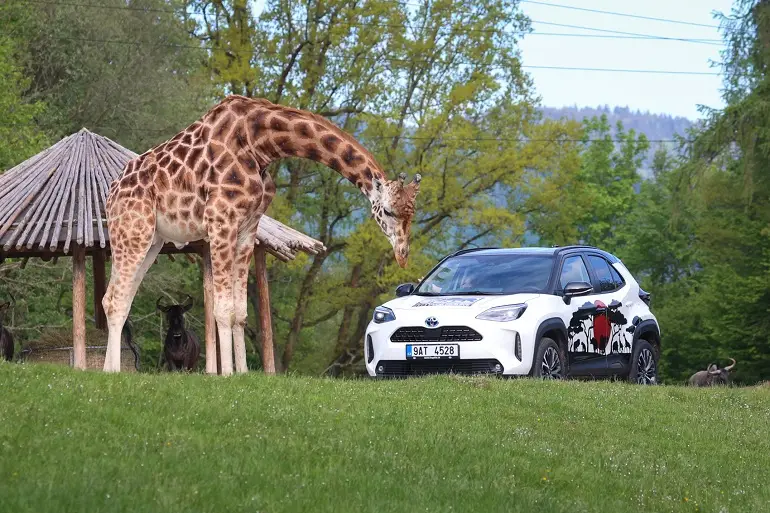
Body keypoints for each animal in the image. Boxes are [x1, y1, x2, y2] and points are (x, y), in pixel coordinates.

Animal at [102, 96, 420, 374]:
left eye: (412, 214)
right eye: (388, 212)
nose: (403, 255)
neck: (260, 143)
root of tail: (111, 192)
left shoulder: (247, 228)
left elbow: (240, 312)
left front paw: (242, 373)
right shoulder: (221, 220)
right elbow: (222, 309)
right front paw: (226, 375)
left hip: (152, 240)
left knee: (116, 297)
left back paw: (108, 369)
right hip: (132, 230)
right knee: (116, 299)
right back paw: (114, 372)